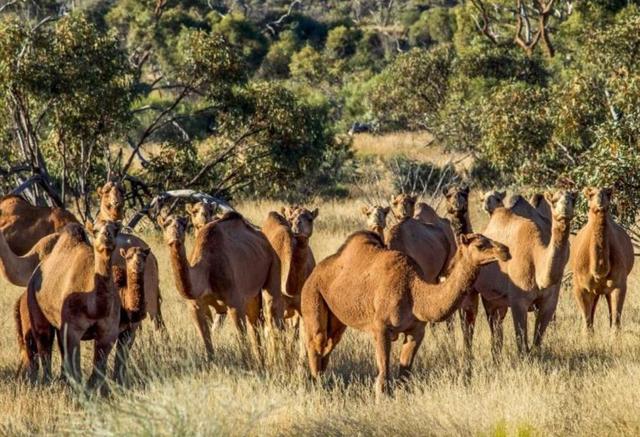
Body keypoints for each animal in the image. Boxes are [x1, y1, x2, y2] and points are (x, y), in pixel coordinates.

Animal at [24, 221, 122, 384]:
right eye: (95, 230)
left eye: (116, 230)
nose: (106, 236)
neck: (95, 309)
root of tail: (35, 274)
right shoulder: (73, 329)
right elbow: (76, 364)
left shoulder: (108, 333)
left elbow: (99, 368)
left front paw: (95, 388)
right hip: (34, 305)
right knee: (44, 343)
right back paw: (47, 381)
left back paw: (63, 379)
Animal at [158, 211, 282, 354]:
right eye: (165, 224)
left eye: (183, 225)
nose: (175, 238)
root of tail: (265, 240)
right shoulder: (195, 306)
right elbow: (207, 343)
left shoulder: (235, 303)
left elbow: (242, 340)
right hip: (252, 296)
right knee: (255, 326)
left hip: (274, 265)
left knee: (271, 314)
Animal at [302, 230, 510, 394]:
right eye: (481, 245)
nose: (505, 250)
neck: (414, 293)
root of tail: (314, 271)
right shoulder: (381, 329)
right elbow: (383, 377)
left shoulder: (416, 331)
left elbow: (404, 375)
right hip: (313, 296)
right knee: (316, 344)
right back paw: (317, 388)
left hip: (337, 319)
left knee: (328, 347)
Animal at [468, 191, 576, 354]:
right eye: (554, 201)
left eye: (572, 200)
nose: (564, 210)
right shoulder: (518, 301)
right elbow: (521, 342)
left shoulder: (549, 302)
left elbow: (537, 340)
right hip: (488, 298)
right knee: (494, 328)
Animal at [568, 187, 636, 330]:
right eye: (590, 194)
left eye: (607, 194)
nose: (600, 201)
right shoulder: (580, 287)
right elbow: (587, 322)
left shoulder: (619, 285)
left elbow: (616, 321)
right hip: (595, 291)